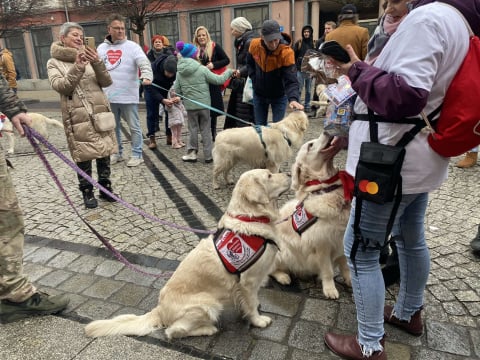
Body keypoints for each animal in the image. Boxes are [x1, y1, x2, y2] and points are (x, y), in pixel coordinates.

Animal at [270, 134, 352, 300]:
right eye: (310, 145)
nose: (327, 132)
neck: (326, 188)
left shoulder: (341, 240)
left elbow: (345, 265)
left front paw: (349, 280)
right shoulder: (322, 244)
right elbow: (328, 271)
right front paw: (330, 289)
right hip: (282, 251)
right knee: (270, 271)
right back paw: (283, 277)